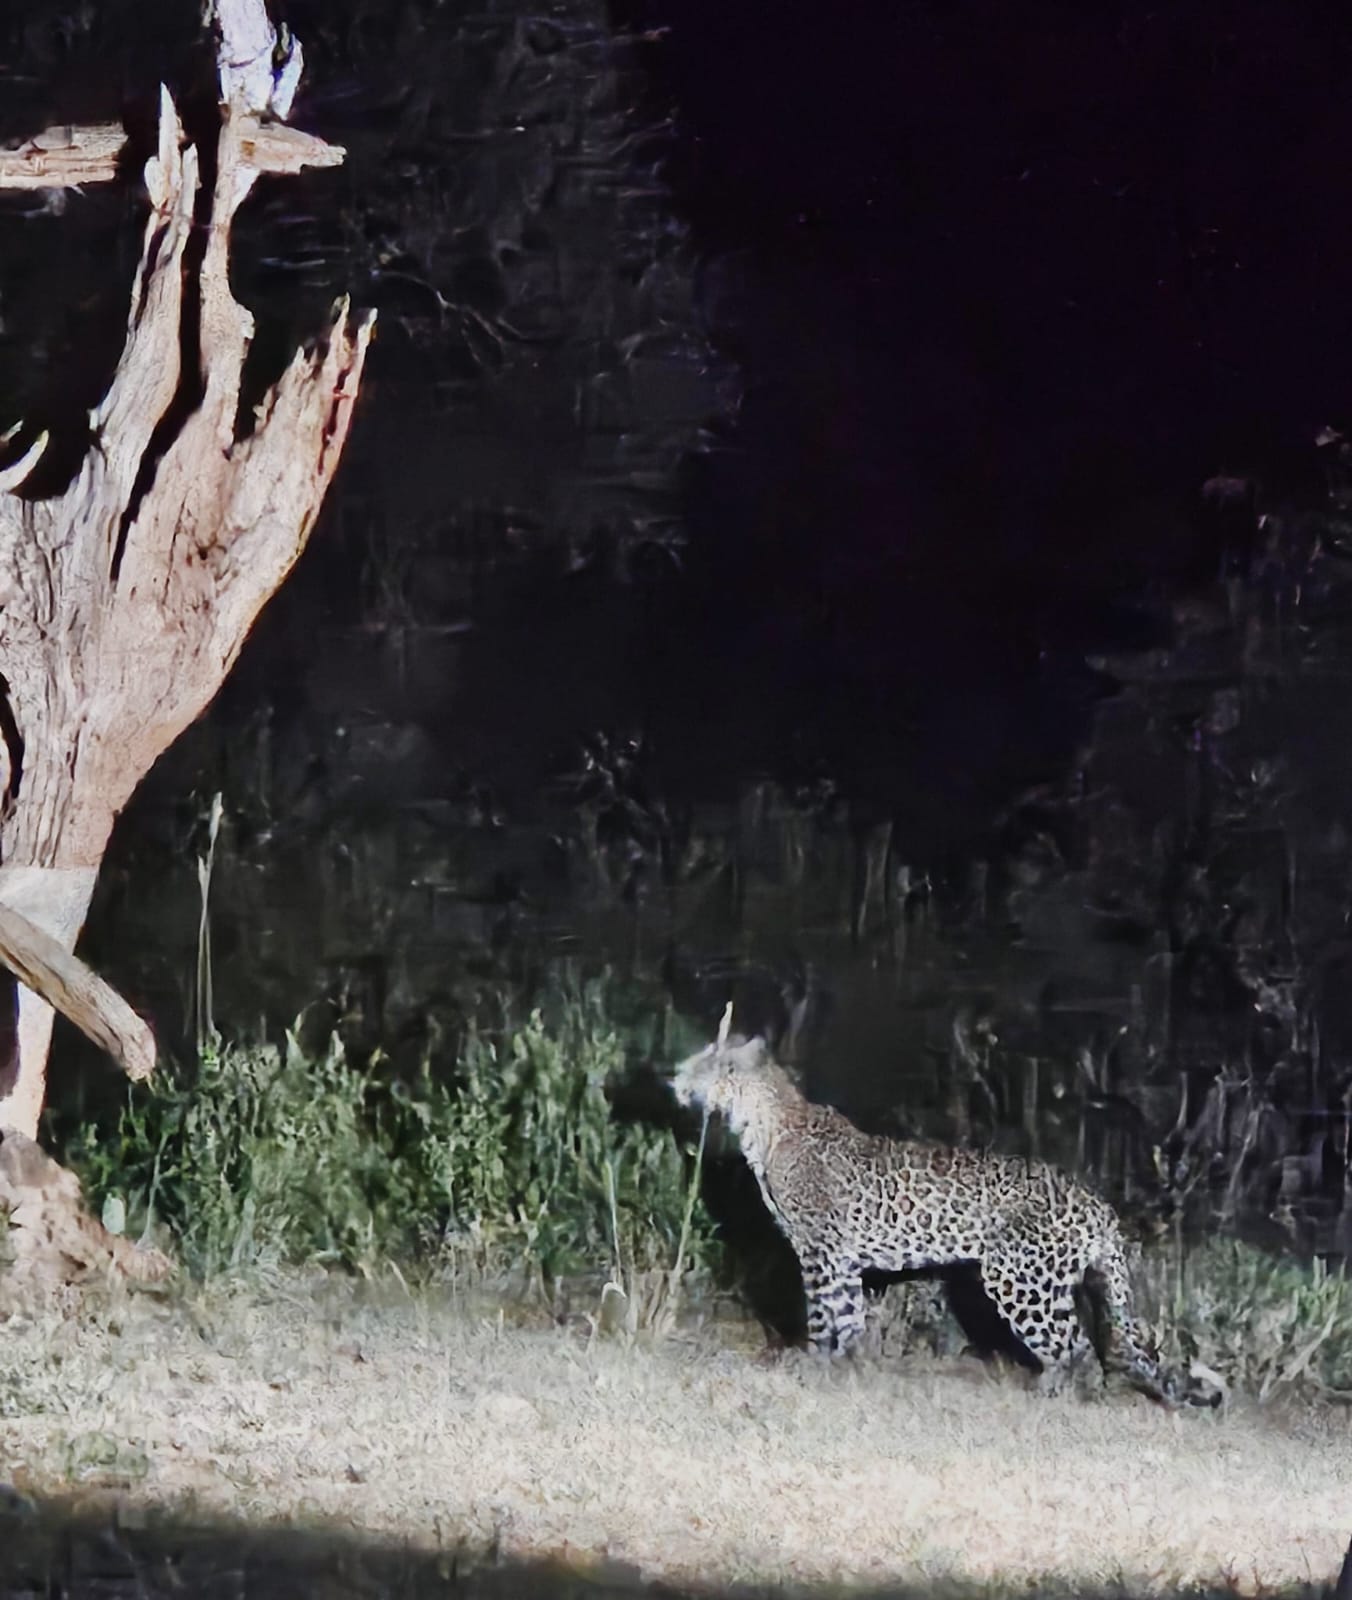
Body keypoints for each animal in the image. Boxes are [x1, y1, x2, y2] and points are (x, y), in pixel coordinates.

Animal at [671, 1031, 1217, 1407]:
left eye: (704, 1063)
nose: (673, 1077)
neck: (762, 1124)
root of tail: (1098, 1204)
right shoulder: (841, 1259)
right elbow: (847, 1316)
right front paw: (839, 1370)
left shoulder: (819, 1251)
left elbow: (824, 1314)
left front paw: (809, 1366)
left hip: (1021, 1279)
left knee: (1073, 1343)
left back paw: (1051, 1396)